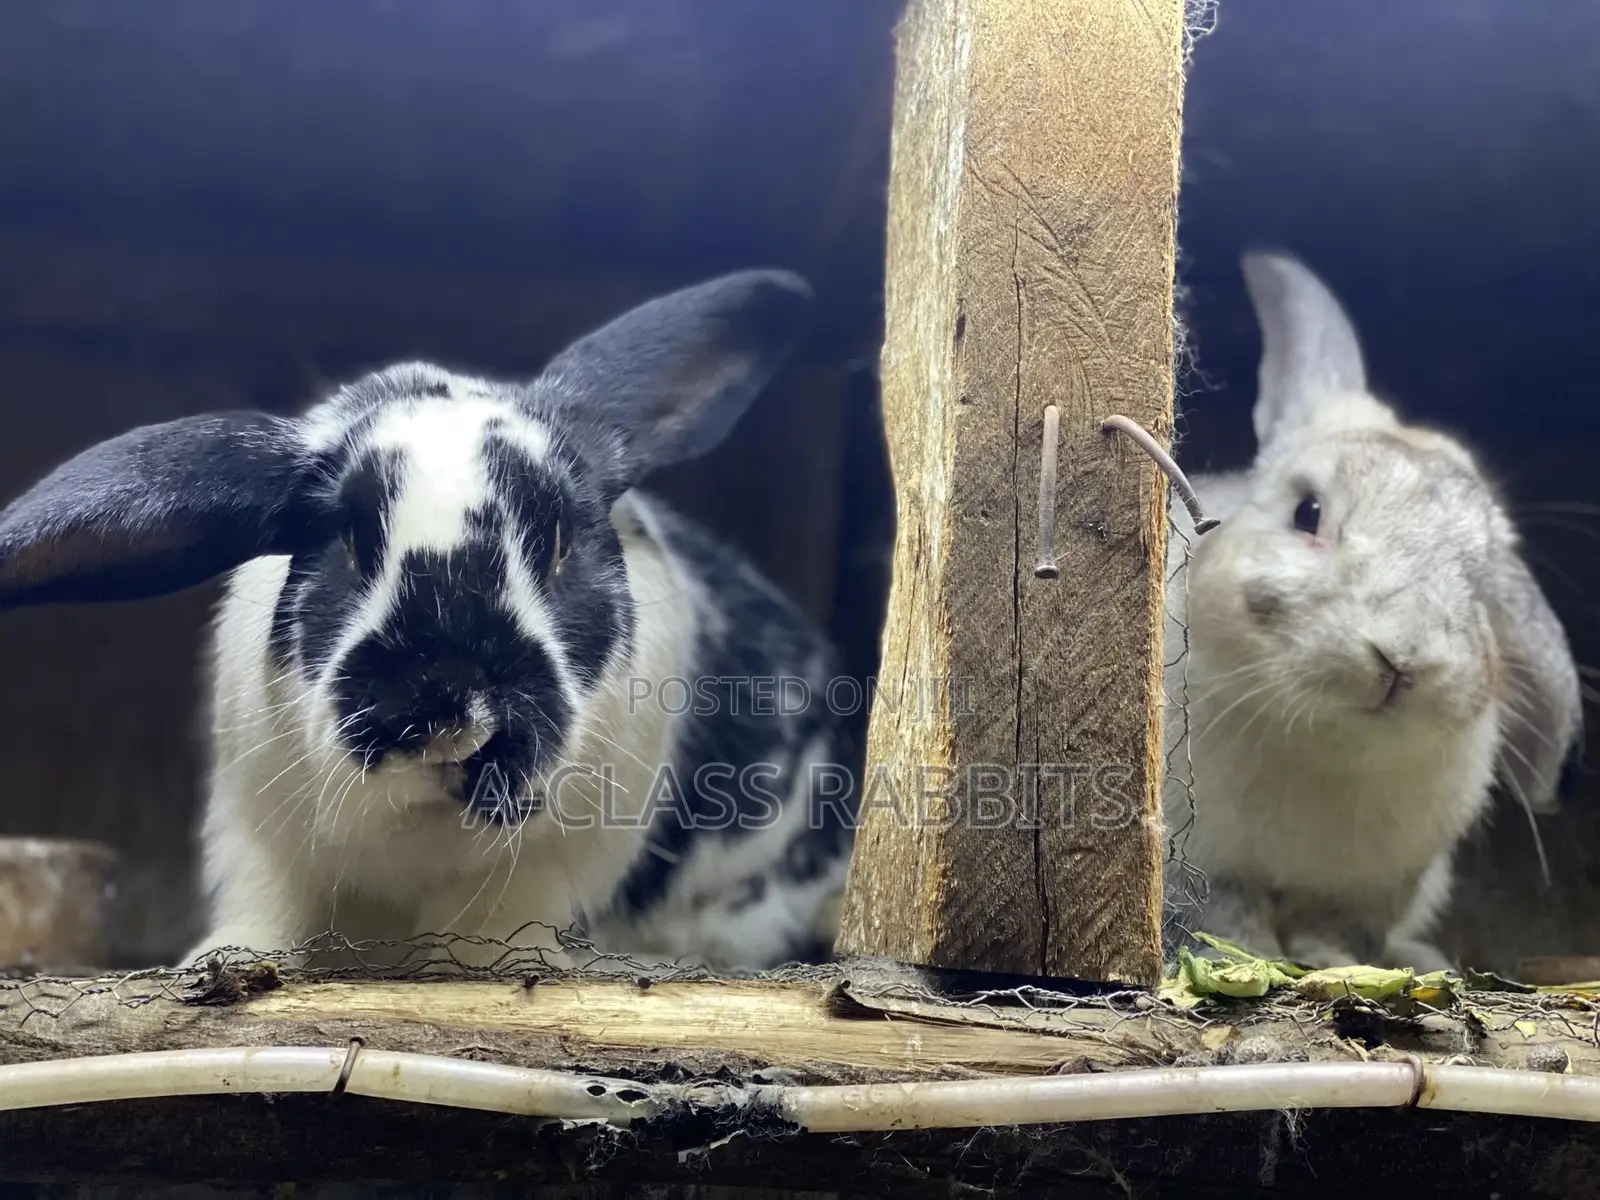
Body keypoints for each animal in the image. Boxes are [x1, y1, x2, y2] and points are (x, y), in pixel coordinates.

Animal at [0, 268, 861, 972]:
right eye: (351, 543)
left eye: (556, 543)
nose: (452, 714)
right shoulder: (255, 834)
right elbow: (267, 911)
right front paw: (220, 960)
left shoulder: (552, 865)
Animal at [1161, 250, 1582, 973]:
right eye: (1307, 512)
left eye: (1478, 574)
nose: (1403, 659)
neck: (1329, 745)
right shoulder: (1202, 865)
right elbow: (1224, 913)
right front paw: (1249, 956)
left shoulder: (1374, 887)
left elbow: (1336, 928)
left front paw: (1330, 961)